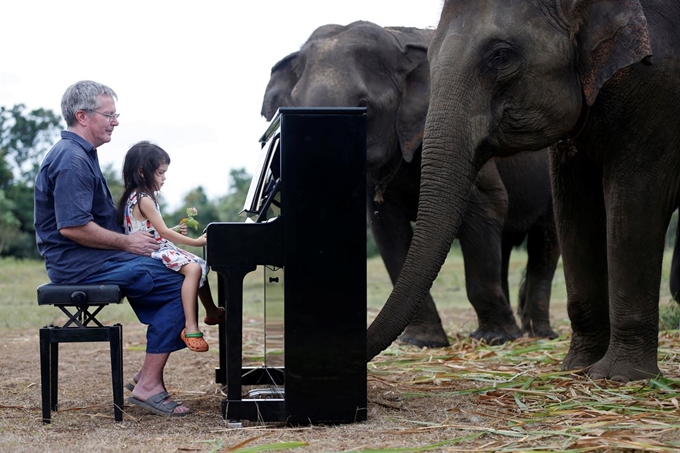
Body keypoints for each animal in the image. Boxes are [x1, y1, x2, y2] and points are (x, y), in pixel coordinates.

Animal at [262, 20, 560, 346]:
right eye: (292, 107)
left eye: (363, 106)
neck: (398, 39)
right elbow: (387, 228)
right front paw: (423, 342)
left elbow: (487, 205)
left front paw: (495, 338)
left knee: (545, 243)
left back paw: (539, 335)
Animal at [372, 0, 680, 382]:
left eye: (501, 56)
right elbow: (575, 210)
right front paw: (578, 367)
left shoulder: (659, 94)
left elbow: (634, 202)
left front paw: (617, 377)